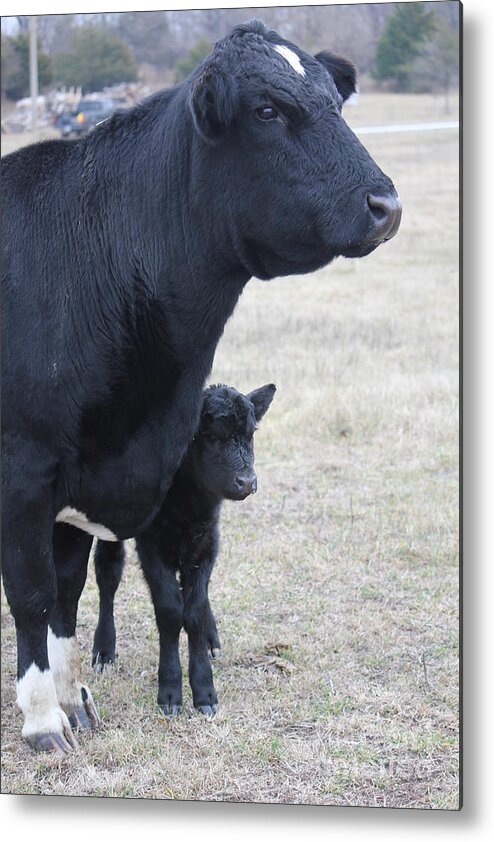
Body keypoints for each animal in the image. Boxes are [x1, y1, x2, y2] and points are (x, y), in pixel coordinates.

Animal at [92, 380, 276, 716]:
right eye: (211, 436)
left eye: (251, 434)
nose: (247, 482)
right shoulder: (151, 548)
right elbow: (169, 611)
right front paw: (169, 692)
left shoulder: (207, 543)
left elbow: (195, 611)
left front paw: (204, 691)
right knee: (108, 571)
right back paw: (103, 650)